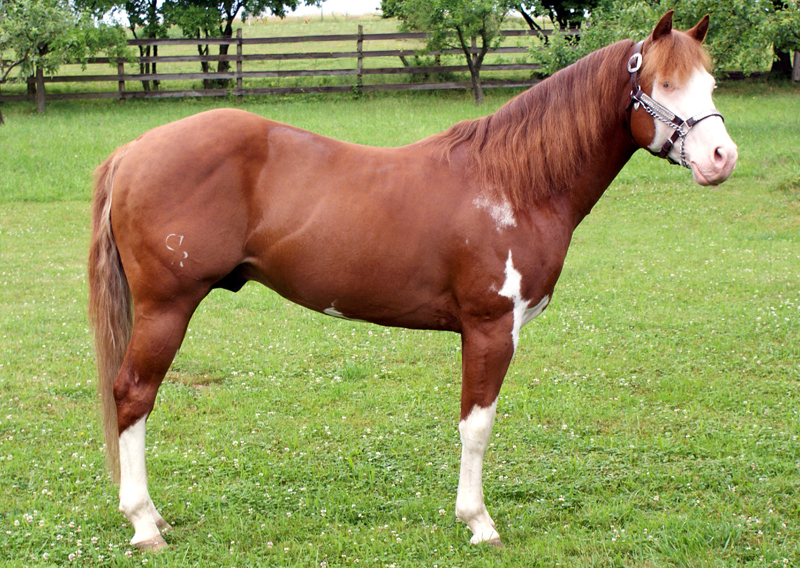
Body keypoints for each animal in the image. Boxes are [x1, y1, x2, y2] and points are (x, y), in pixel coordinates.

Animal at [88, 11, 737, 550]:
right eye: (664, 84)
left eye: (709, 84)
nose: (722, 158)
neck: (514, 183)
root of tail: (133, 150)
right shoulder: (490, 329)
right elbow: (477, 427)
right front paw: (478, 522)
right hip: (166, 308)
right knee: (133, 396)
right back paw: (145, 524)